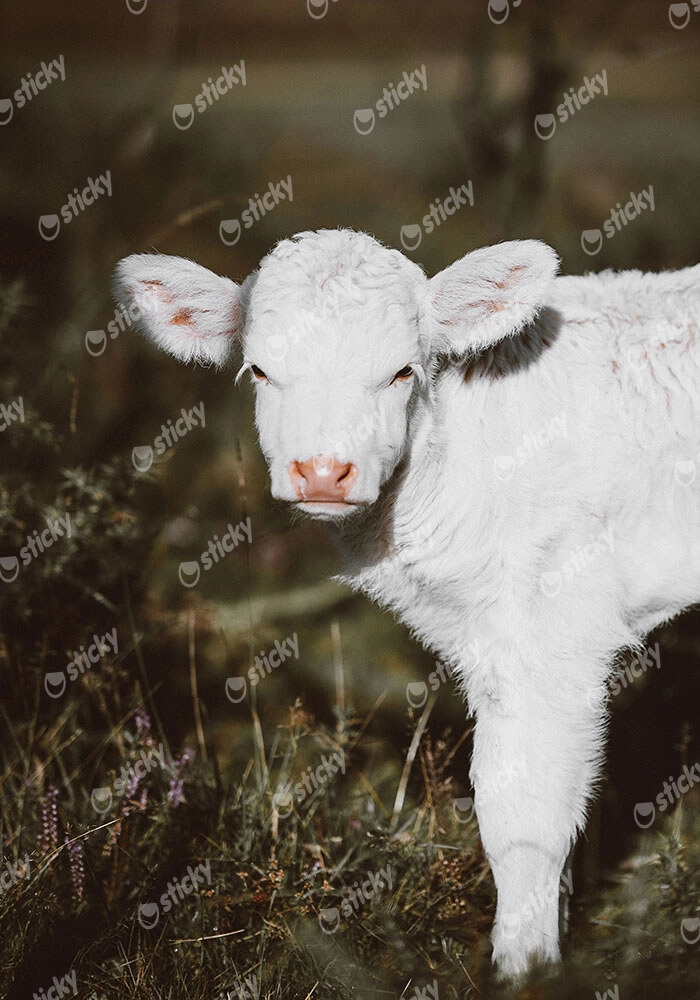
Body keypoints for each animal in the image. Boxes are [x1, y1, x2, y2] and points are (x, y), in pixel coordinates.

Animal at [113, 228, 700, 980]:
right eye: (261, 371)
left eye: (401, 373)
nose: (323, 472)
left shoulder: (551, 631)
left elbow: (523, 813)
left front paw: (524, 973)